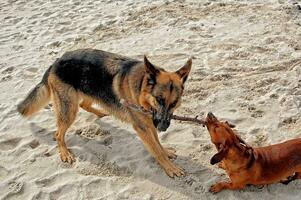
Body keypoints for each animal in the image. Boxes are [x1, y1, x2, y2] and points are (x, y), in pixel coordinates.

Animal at [18, 49, 192, 177]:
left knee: (84, 104)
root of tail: (56, 61)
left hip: (90, 94)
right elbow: (155, 150)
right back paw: (65, 153)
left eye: (174, 103)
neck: (142, 88)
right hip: (69, 111)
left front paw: (166, 152)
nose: (162, 127)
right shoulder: (143, 127)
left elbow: (158, 144)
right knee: (58, 134)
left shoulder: (149, 124)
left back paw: (102, 114)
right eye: (159, 99)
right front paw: (170, 167)